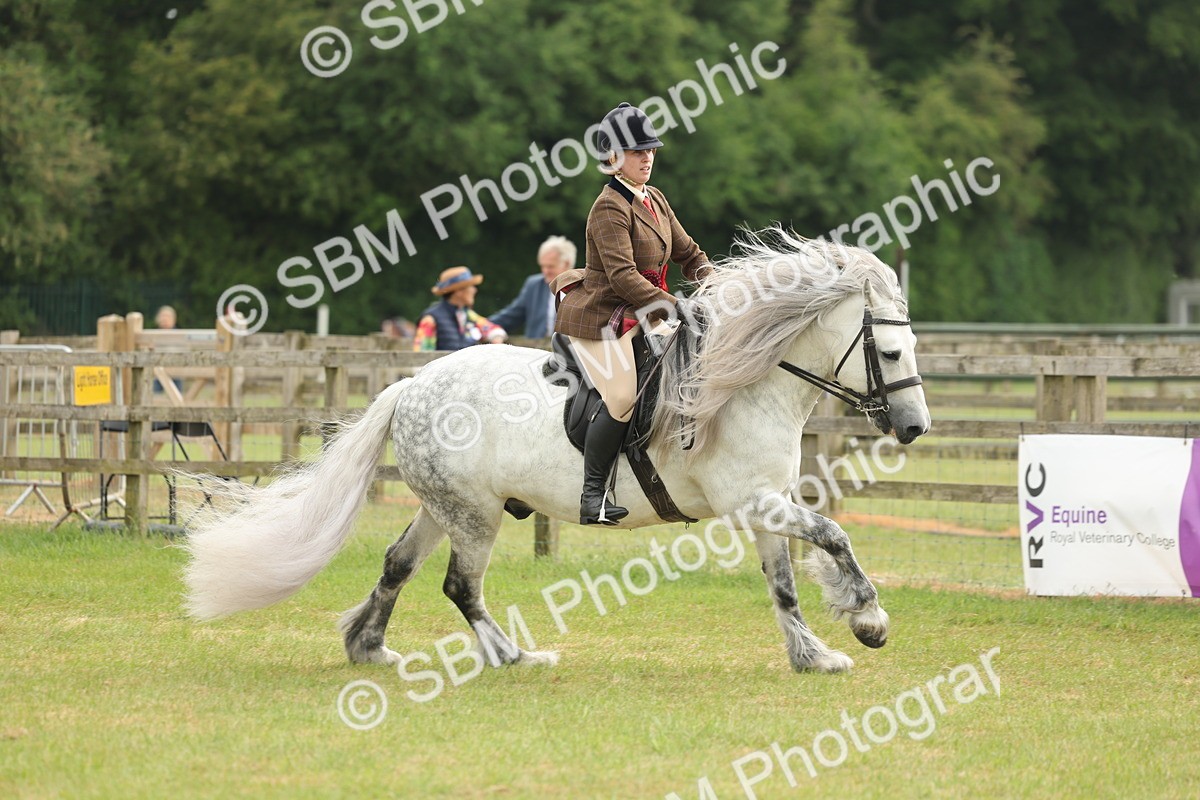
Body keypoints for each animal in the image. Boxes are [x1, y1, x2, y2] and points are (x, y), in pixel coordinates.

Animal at [182, 230, 930, 674]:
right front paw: (869, 618)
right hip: (476, 516)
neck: (747, 385)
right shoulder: (755, 501)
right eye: (891, 353)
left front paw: (813, 655)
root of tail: (412, 384)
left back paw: (368, 645)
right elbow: (833, 535)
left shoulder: (764, 504)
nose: (916, 429)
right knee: (461, 586)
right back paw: (511, 655)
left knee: (398, 562)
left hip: (446, 506)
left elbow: (784, 582)